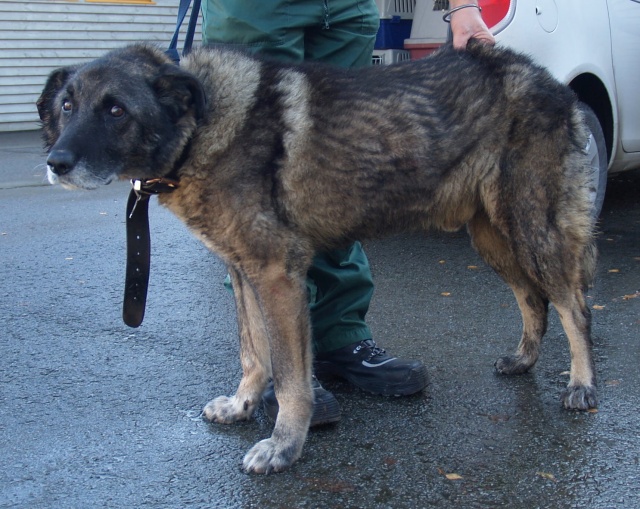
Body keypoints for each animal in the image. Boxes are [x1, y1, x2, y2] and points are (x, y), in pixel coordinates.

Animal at [37, 41, 598, 473]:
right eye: (67, 106)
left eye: (116, 110)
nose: (55, 162)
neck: (202, 124)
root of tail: (550, 81)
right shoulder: (244, 273)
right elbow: (253, 353)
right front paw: (243, 405)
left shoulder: (277, 276)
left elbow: (289, 376)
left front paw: (285, 446)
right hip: (493, 238)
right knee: (533, 299)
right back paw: (524, 359)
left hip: (534, 229)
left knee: (573, 306)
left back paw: (582, 384)